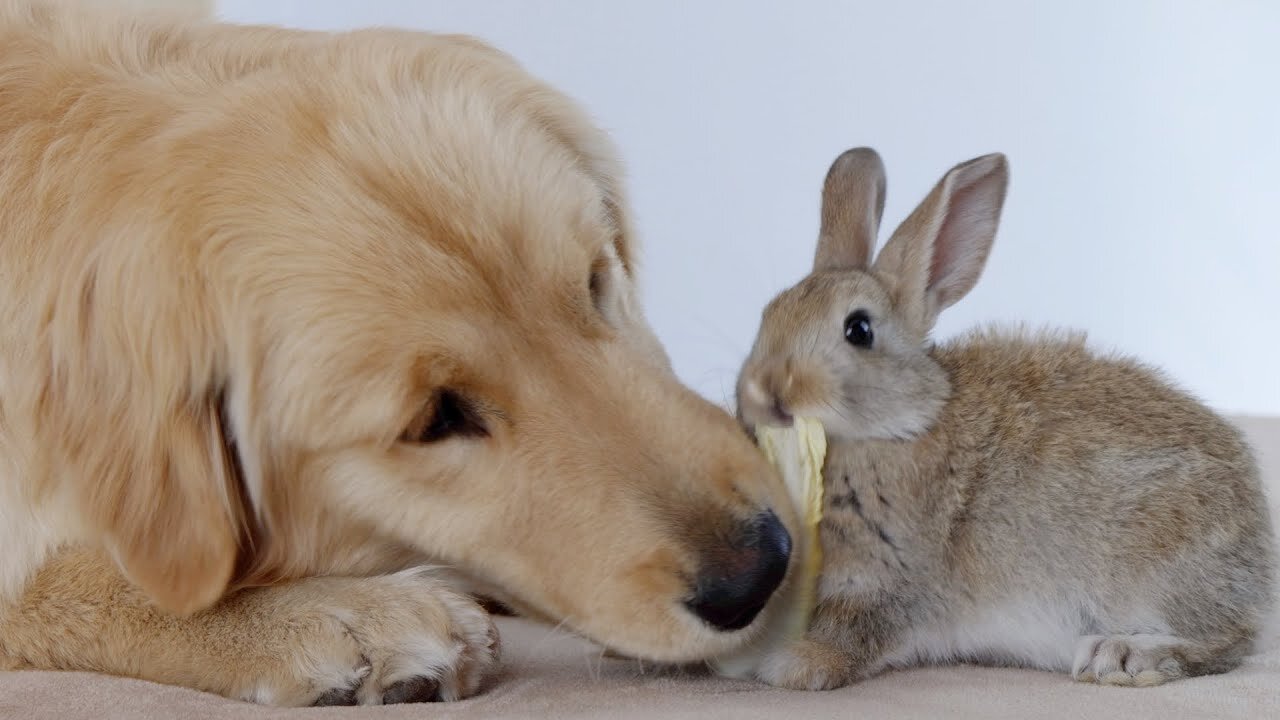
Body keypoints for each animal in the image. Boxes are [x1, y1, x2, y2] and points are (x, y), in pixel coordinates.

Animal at [737, 147, 1274, 691]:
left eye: (859, 329)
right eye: (768, 313)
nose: (764, 389)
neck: (896, 427)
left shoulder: (890, 572)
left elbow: (855, 631)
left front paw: (793, 664)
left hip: (1157, 574)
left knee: (1227, 643)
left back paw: (1122, 655)